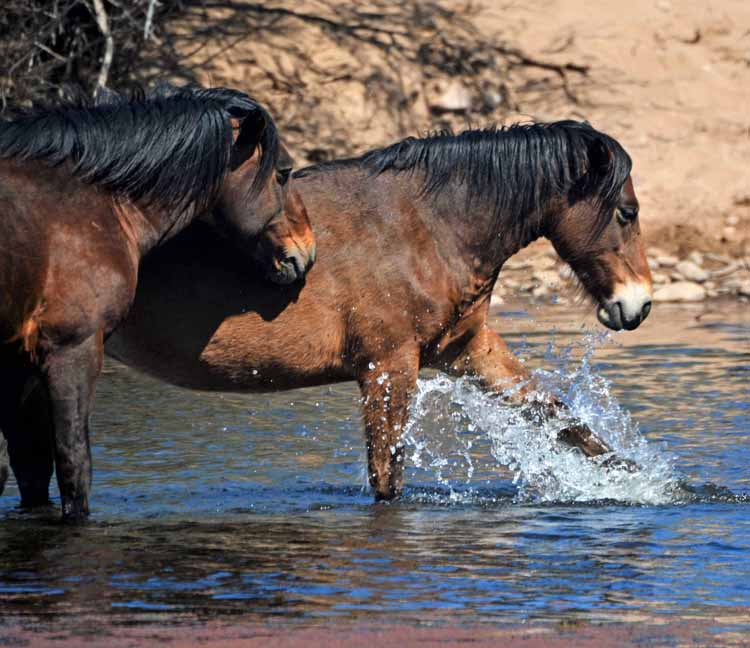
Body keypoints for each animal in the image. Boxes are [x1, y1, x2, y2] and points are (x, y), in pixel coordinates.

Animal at [0, 87, 318, 520]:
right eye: (283, 172)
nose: (307, 253)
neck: (87, 209)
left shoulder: (15, 364)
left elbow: (27, 469)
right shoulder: (72, 350)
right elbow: (73, 465)